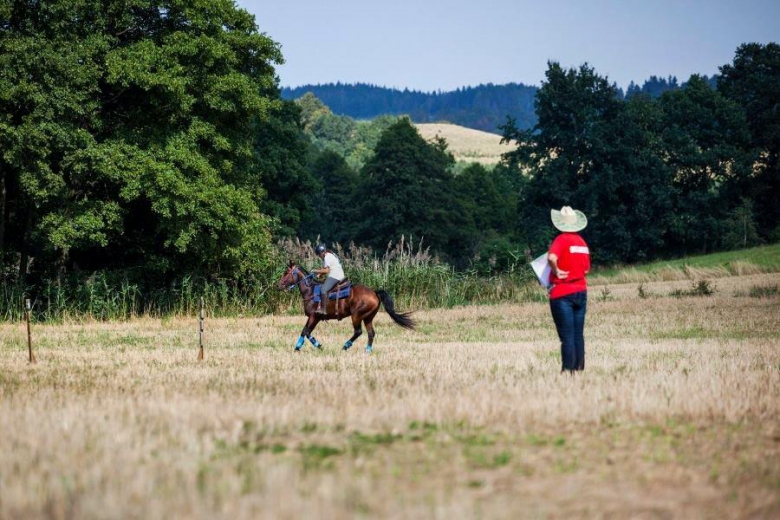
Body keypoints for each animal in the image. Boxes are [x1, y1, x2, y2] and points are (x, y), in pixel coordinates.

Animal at [278, 260, 418, 354]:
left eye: (286, 273)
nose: (278, 286)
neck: (310, 291)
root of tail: (374, 292)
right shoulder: (315, 318)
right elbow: (305, 331)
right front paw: (299, 347)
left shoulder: (314, 316)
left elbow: (306, 332)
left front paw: (316, 346)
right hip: (368, 318)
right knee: (371, 333)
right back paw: (367, 351)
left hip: (356, 315)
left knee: (358, 331)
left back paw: (345, 346)